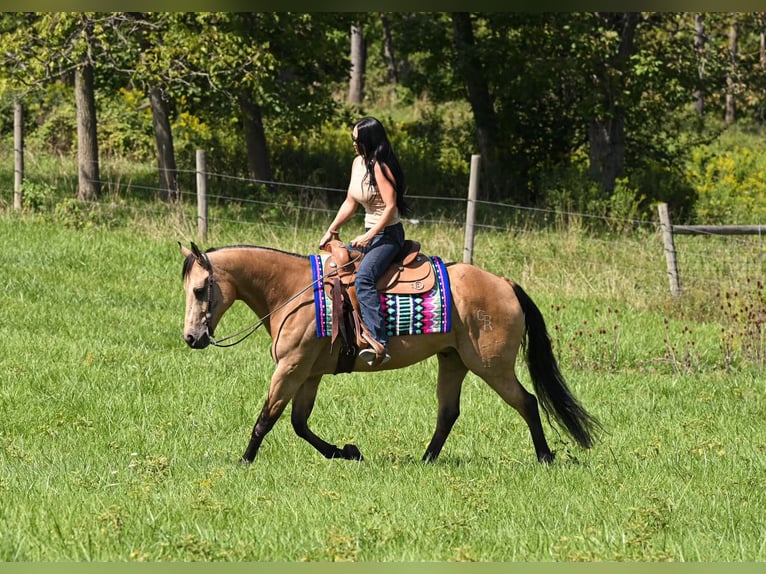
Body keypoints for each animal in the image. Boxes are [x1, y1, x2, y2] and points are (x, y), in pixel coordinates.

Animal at [179, 241, 600, 465]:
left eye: (200, 290)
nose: (191, 338)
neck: (295, 291)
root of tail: (505, 284)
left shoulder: (291, 368)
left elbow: (266, 418)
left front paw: (244, 461)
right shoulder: (309, 373)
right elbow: (299, 424)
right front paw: (347, 452)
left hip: (492, 366)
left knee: (527, 402)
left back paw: (544, 457)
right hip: (454, 361)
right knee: (448, 413)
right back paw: (426, 460)